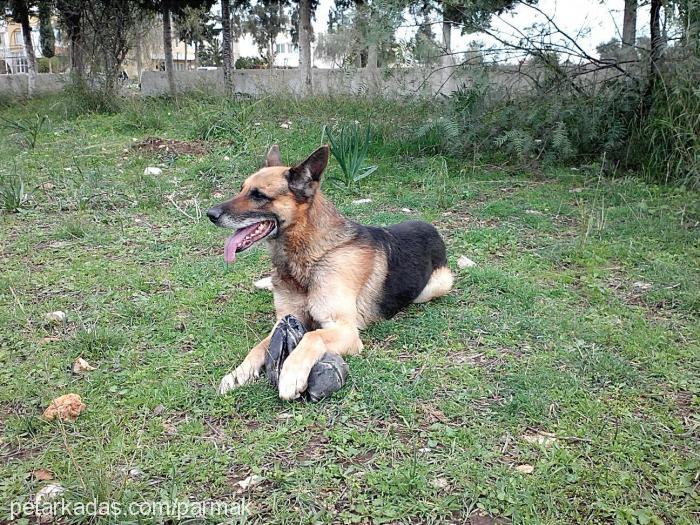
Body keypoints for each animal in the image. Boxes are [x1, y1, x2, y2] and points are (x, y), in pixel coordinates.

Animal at [206, 143, 454, 398]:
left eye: (258, 195)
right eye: (242, 189)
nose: (210, 215)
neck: (311, 256)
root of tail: (431, 227)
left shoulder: (345, 329)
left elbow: (312, 336)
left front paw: (291, 374)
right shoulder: (284, 321)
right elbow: (259, 347)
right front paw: (238, 373)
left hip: (436, 286)